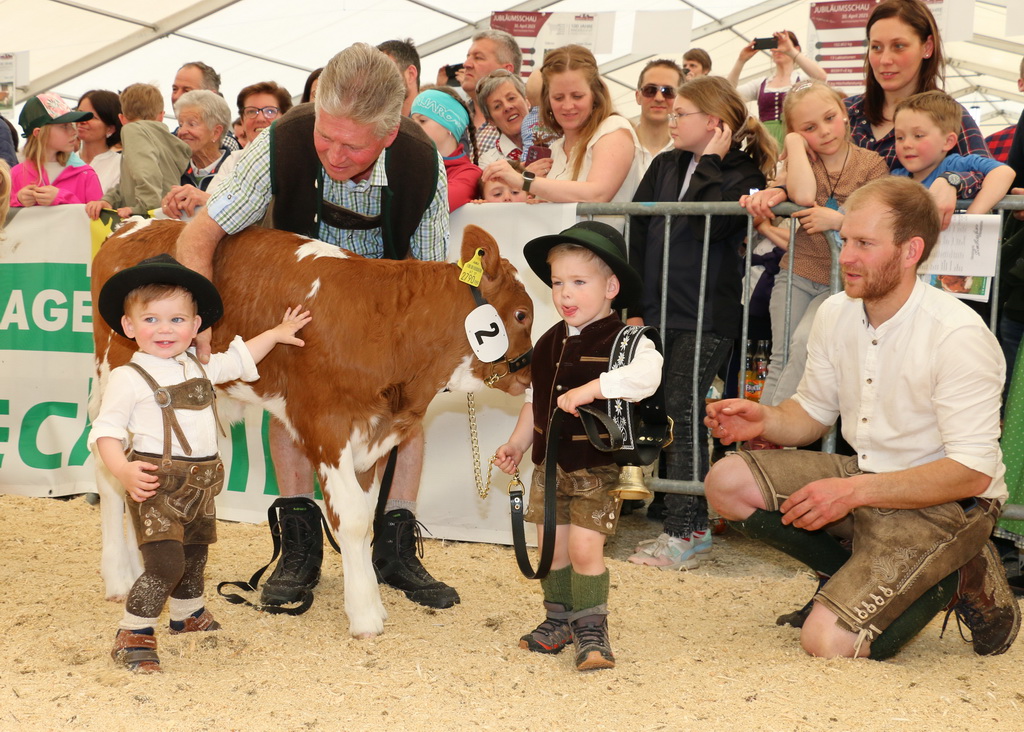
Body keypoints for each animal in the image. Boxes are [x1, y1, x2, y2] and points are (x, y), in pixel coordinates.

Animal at [92, 220, 536, 638]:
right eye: (521, 314)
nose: (529, 374)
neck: (389, 324)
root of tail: (137, 224)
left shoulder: (372, 434)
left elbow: (363, 517)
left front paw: (371, 600)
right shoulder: (324, 425)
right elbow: (351, 518)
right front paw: (365, 615)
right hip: (117, 378)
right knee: (108, 466)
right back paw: (119, 575)